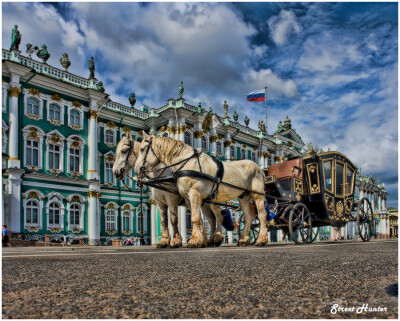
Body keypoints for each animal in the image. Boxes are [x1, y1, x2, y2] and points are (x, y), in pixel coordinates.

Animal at [134, 131, 268, 246]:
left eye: (142, 149)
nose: (136, 170)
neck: (187, 163)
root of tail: (259, 168)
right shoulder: (183, 198)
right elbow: (193, 218)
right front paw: (198, 239)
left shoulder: (189, 195)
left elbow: (192, 218)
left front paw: (193, 240)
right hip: (243, 197)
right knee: (247, 216)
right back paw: (243, 239)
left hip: (257, 195)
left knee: (262, 215)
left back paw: (261, 239)